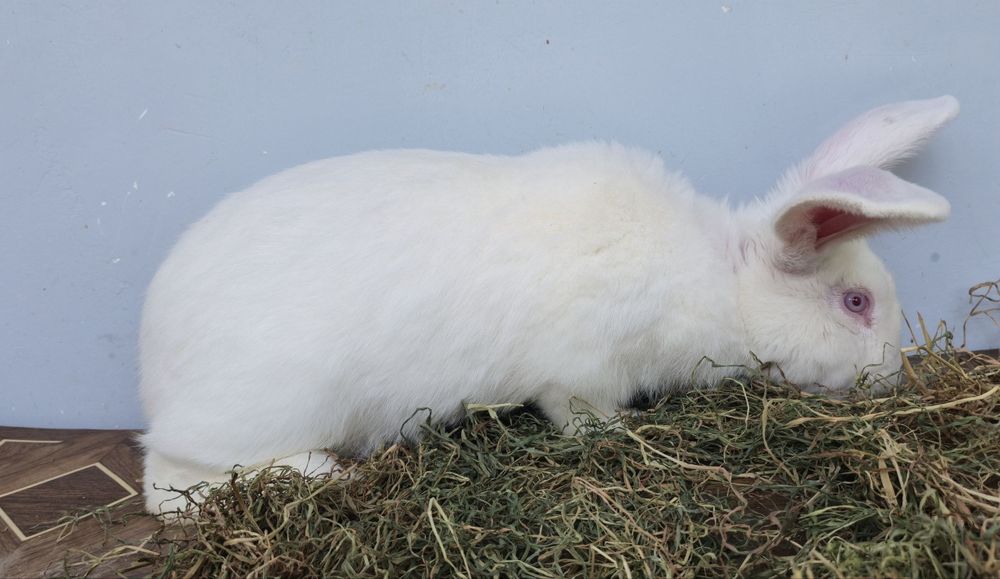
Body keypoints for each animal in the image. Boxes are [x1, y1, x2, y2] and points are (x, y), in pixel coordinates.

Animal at [140, 96, 957, 514]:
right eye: (855, 302)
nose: (894, 378)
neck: (716, 275)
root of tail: (155, 370)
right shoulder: (579, 367)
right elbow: (578, 413)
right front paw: (618, 433)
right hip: (266, 407)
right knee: (173, 482)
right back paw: (326, 473)